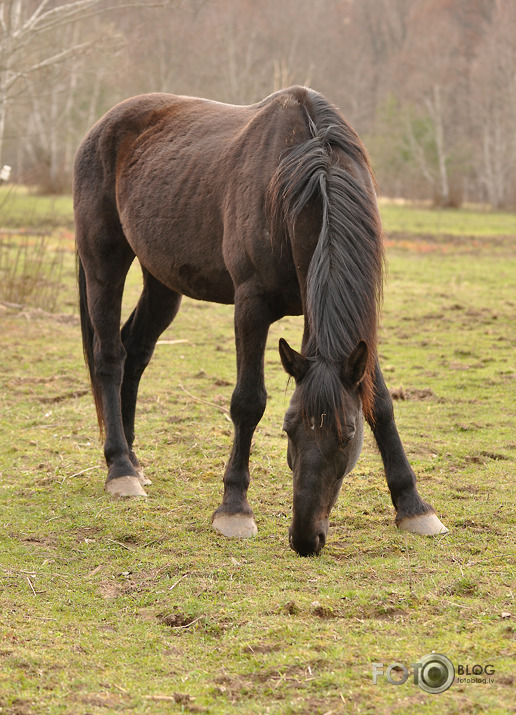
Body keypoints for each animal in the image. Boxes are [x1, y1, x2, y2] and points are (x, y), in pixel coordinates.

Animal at [73, 84, 448, 552]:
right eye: (288, 430)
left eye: (347, 434)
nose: (305, 539)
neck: (305, 176)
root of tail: (101, 126)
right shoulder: (251, 305)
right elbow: (248, 402)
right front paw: (234, 508)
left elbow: (379, 402)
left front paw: (413, 505)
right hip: (103, 261)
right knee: (110, 357)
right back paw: (120, 469)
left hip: (162, 280)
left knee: (135, 351)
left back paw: (134, 461)